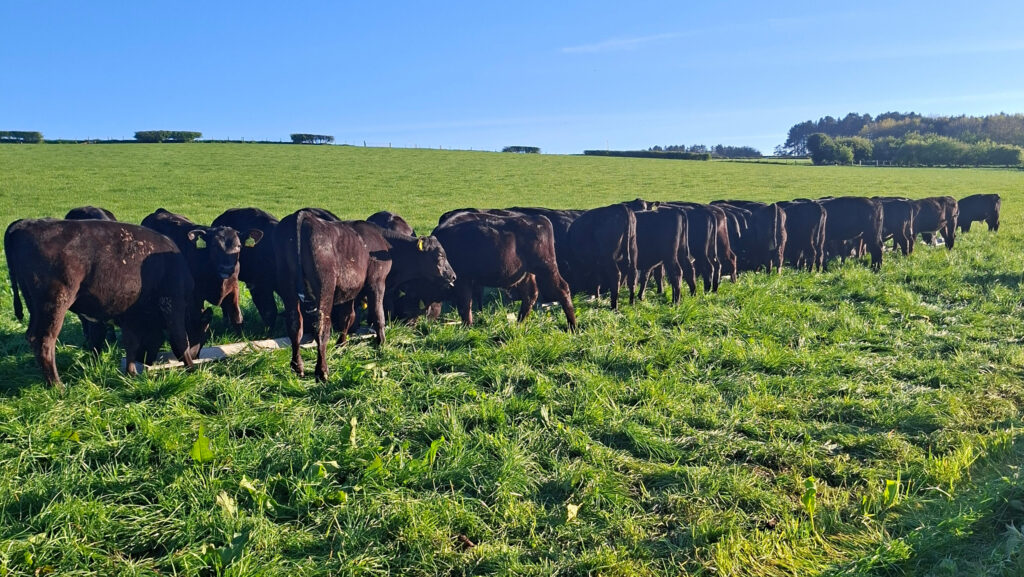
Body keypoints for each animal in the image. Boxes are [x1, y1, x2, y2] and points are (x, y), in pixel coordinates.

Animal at [5, 219, 209, 389]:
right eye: (203, 332)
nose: (197, 355)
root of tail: (25, 223)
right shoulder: (173, 304)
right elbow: (180, 340)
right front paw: (192, 370)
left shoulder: (129, 317)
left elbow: (129, 343)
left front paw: (130, 373)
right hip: (55, 305)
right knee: (44, 341)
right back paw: (58, 386)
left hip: (35, 307)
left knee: (32, 337)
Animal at [273, 209, 383, 382]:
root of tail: (303, 216)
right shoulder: (377, 282)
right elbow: (378, 313)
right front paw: (381, 343)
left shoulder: (349, 292)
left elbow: (348, 317)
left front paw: (341, 344)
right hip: (325, 287)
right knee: (322, 327)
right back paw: (322, 371)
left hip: (287, 286)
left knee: (295, 324)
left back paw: (297, 367)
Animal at [431, 213, 576, 330]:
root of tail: (540, 219)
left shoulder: (463, 280)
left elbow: (465, 305)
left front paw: (467, 328)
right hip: (527, 273)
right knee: (530, 295)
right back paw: (519, 323)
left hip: (546, 267)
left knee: (562, 289)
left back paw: (573, 327)